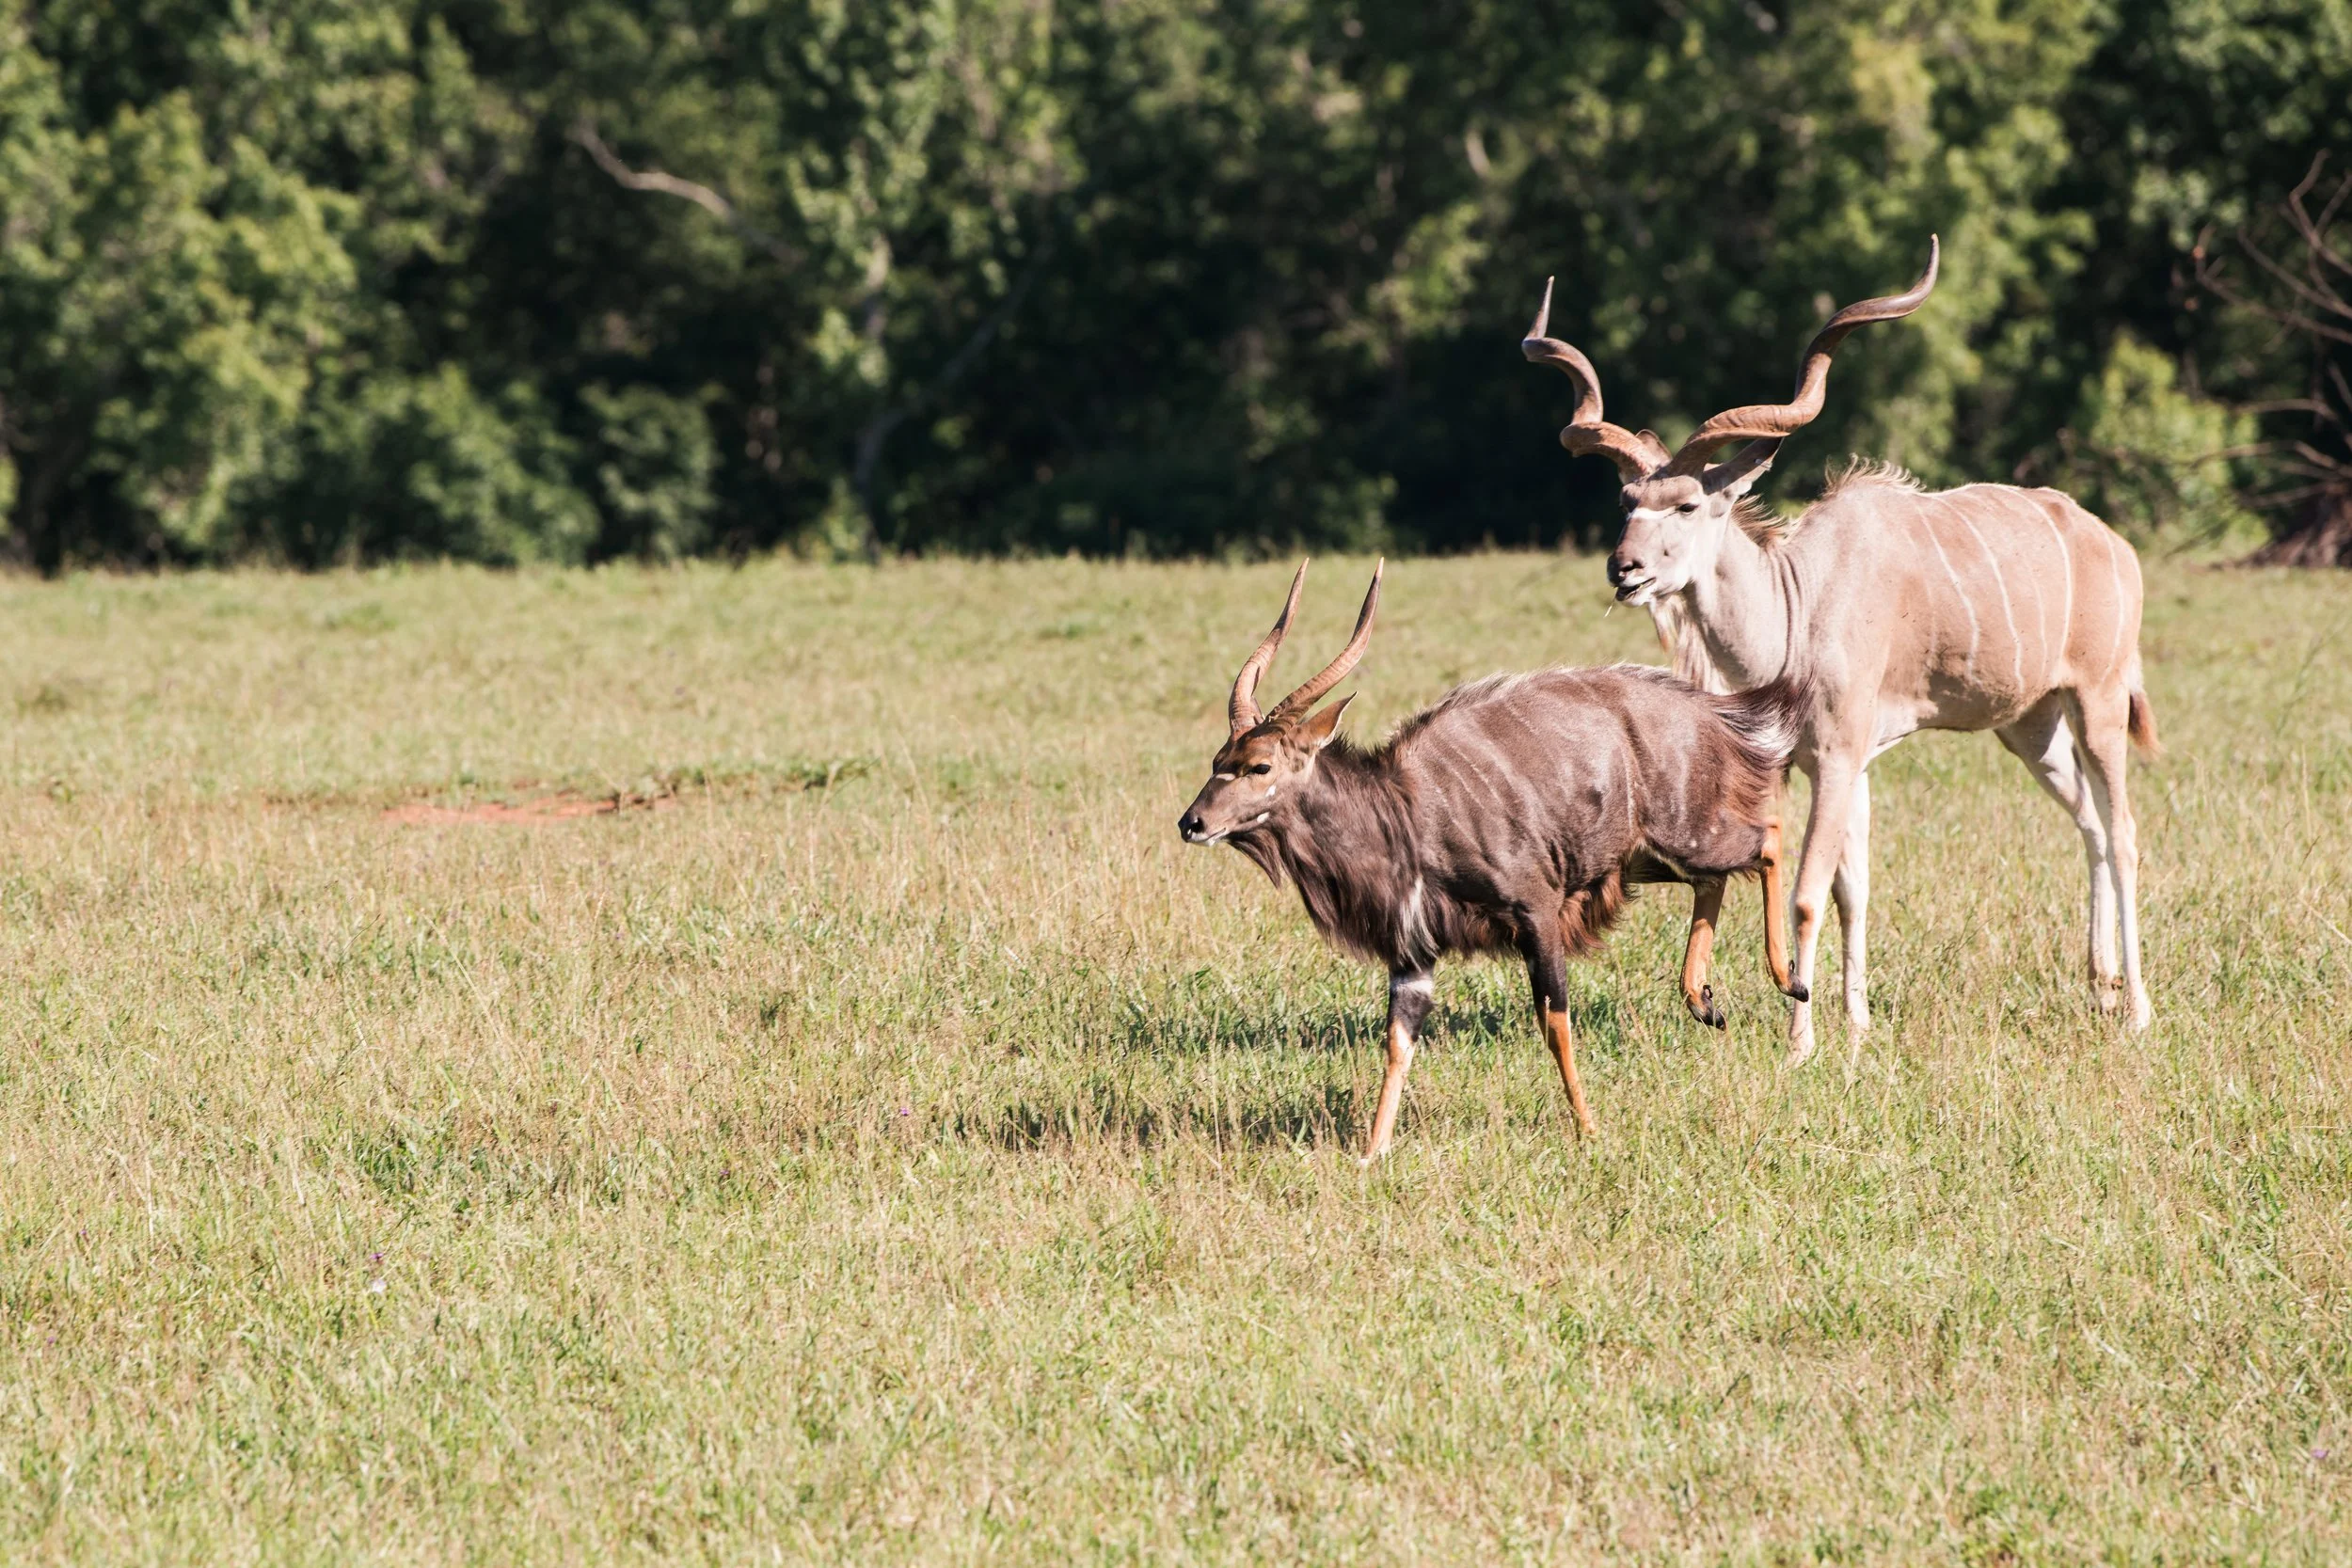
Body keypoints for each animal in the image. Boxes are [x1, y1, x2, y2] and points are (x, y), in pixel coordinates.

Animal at [1177, 560, 1807, 1157]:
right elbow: (1397, 1042)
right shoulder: (1413, 954)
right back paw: (1704, 1001)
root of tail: (1713, 715)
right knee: (1715, 879)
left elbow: (1555, 1022)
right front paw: (1372, 1152)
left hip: (1683, 834)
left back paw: (1790, 979)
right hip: (1644, 858)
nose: (1191, 823)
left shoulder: (1537, 912)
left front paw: (1589, 1130)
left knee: (1769, 840)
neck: (1406, 815)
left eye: (1259, 765)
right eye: (1217, 759)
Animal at [1522, 239, 2158, 1064]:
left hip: (2098, 701)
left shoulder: (1835, 754)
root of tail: (2116, 548)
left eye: (1688, 504)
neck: (1797, 607)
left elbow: (1805, 893)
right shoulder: (1828, 762)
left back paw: (2138, 1007)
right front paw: (1855, 1024)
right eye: (1628, 502)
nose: (1623, 569)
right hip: (2031, 726)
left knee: (2124, 832)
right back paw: (2098, 986)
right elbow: (1851, 888)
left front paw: (1802, 1039)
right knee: (2089, 826)